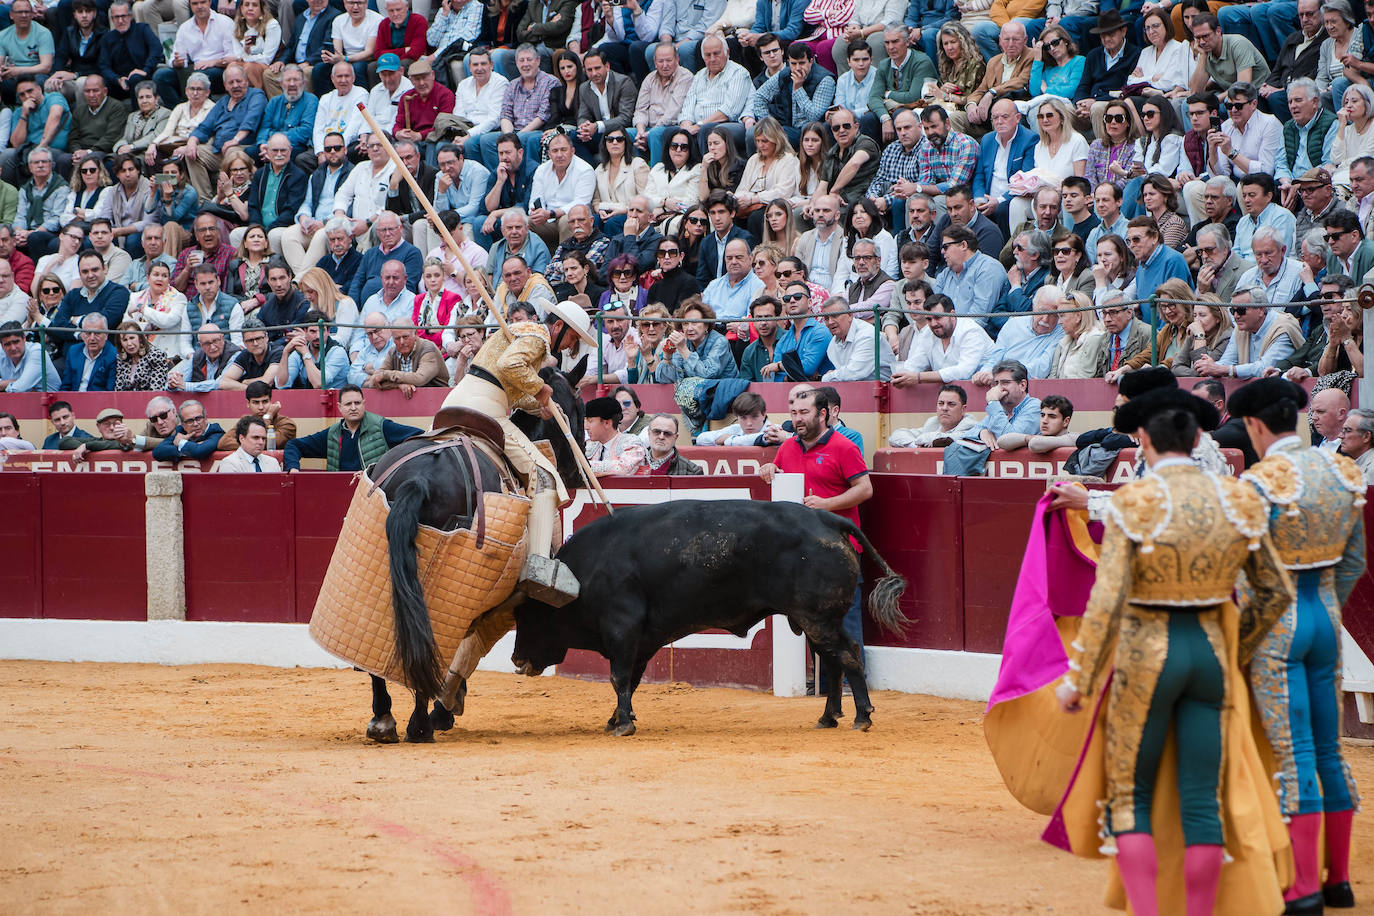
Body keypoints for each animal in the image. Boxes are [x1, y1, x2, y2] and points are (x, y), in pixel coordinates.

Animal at [365, 362, 585, 741]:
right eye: (580, 409)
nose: (578, 467)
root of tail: (419, 479)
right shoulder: (511, 600)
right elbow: (473, 646)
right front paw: (444, 708)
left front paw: (449, 702)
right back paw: (419, 725)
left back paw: (383, 719)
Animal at [511, 502, 906, 736]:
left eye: (528, 615)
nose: (516, 659)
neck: (584, 573)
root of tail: (828, 518)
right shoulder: (640, 640)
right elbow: (631, 681)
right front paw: (618, 719)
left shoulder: (622, 630)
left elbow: (618, 677)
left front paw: (622, 725)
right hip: (815, 621)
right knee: (838, 657)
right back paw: (828, 717)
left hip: (816, 619)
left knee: (847, 656)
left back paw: (862, 716)